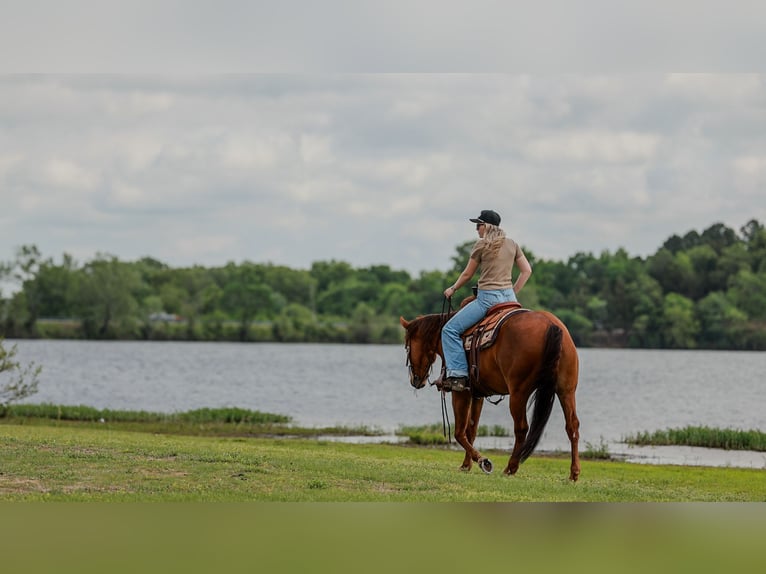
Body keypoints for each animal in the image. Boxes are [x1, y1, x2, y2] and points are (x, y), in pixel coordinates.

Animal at [399, 303, 581, 481]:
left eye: (407, 347)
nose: (415, 380)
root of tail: (551, 325)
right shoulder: (477, 394)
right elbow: (471, 431)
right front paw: (466, 465)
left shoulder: (460, 392)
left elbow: (459, 432)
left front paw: (482, 461)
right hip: (566, 390)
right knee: (572, 426)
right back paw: (574, 473)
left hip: (519, 393)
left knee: (521, 428)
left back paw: (510, 468)